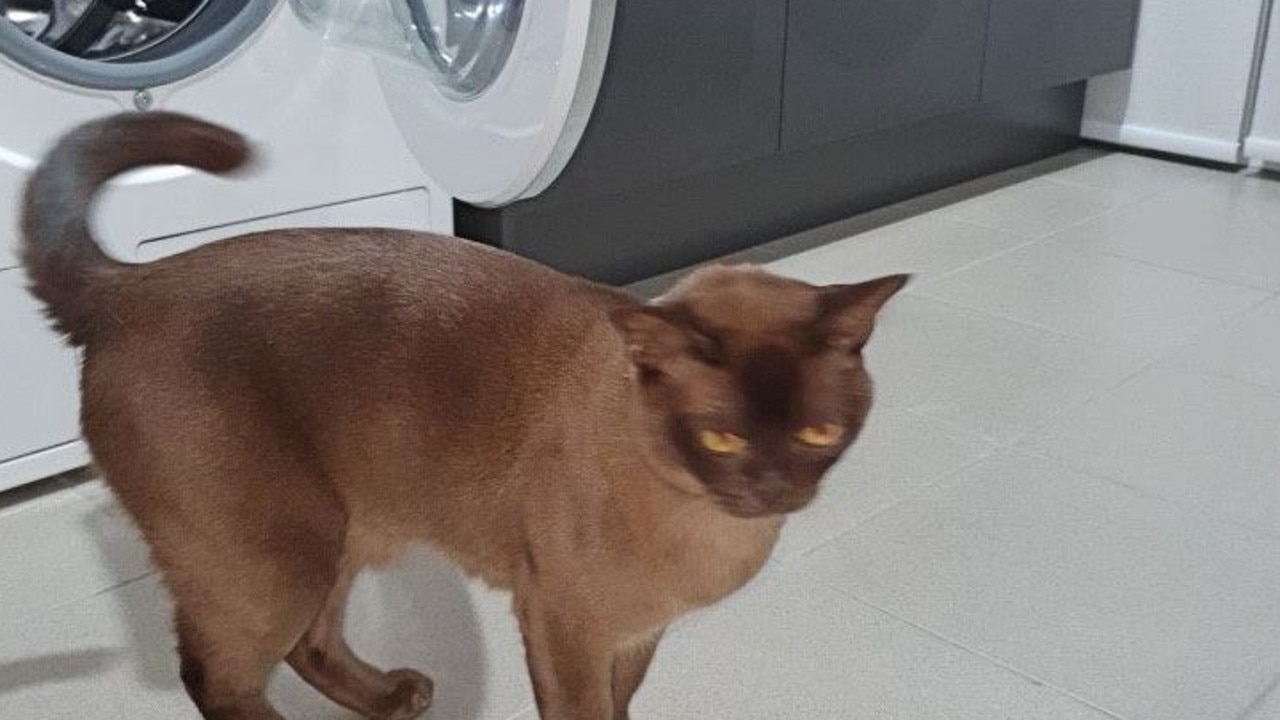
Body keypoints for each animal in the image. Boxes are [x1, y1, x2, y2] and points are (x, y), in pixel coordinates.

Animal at [17, 113, 911, 717]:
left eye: (818, 434)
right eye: (721, 437)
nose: (772, 490)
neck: (706, 528)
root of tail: (130, 288)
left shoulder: (632, 637)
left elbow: (621, 707)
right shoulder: (566, 629)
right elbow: (585, 713)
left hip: (336, 534)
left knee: (309, 642)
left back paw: (390, 698)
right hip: (273, 556)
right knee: (217, 677)